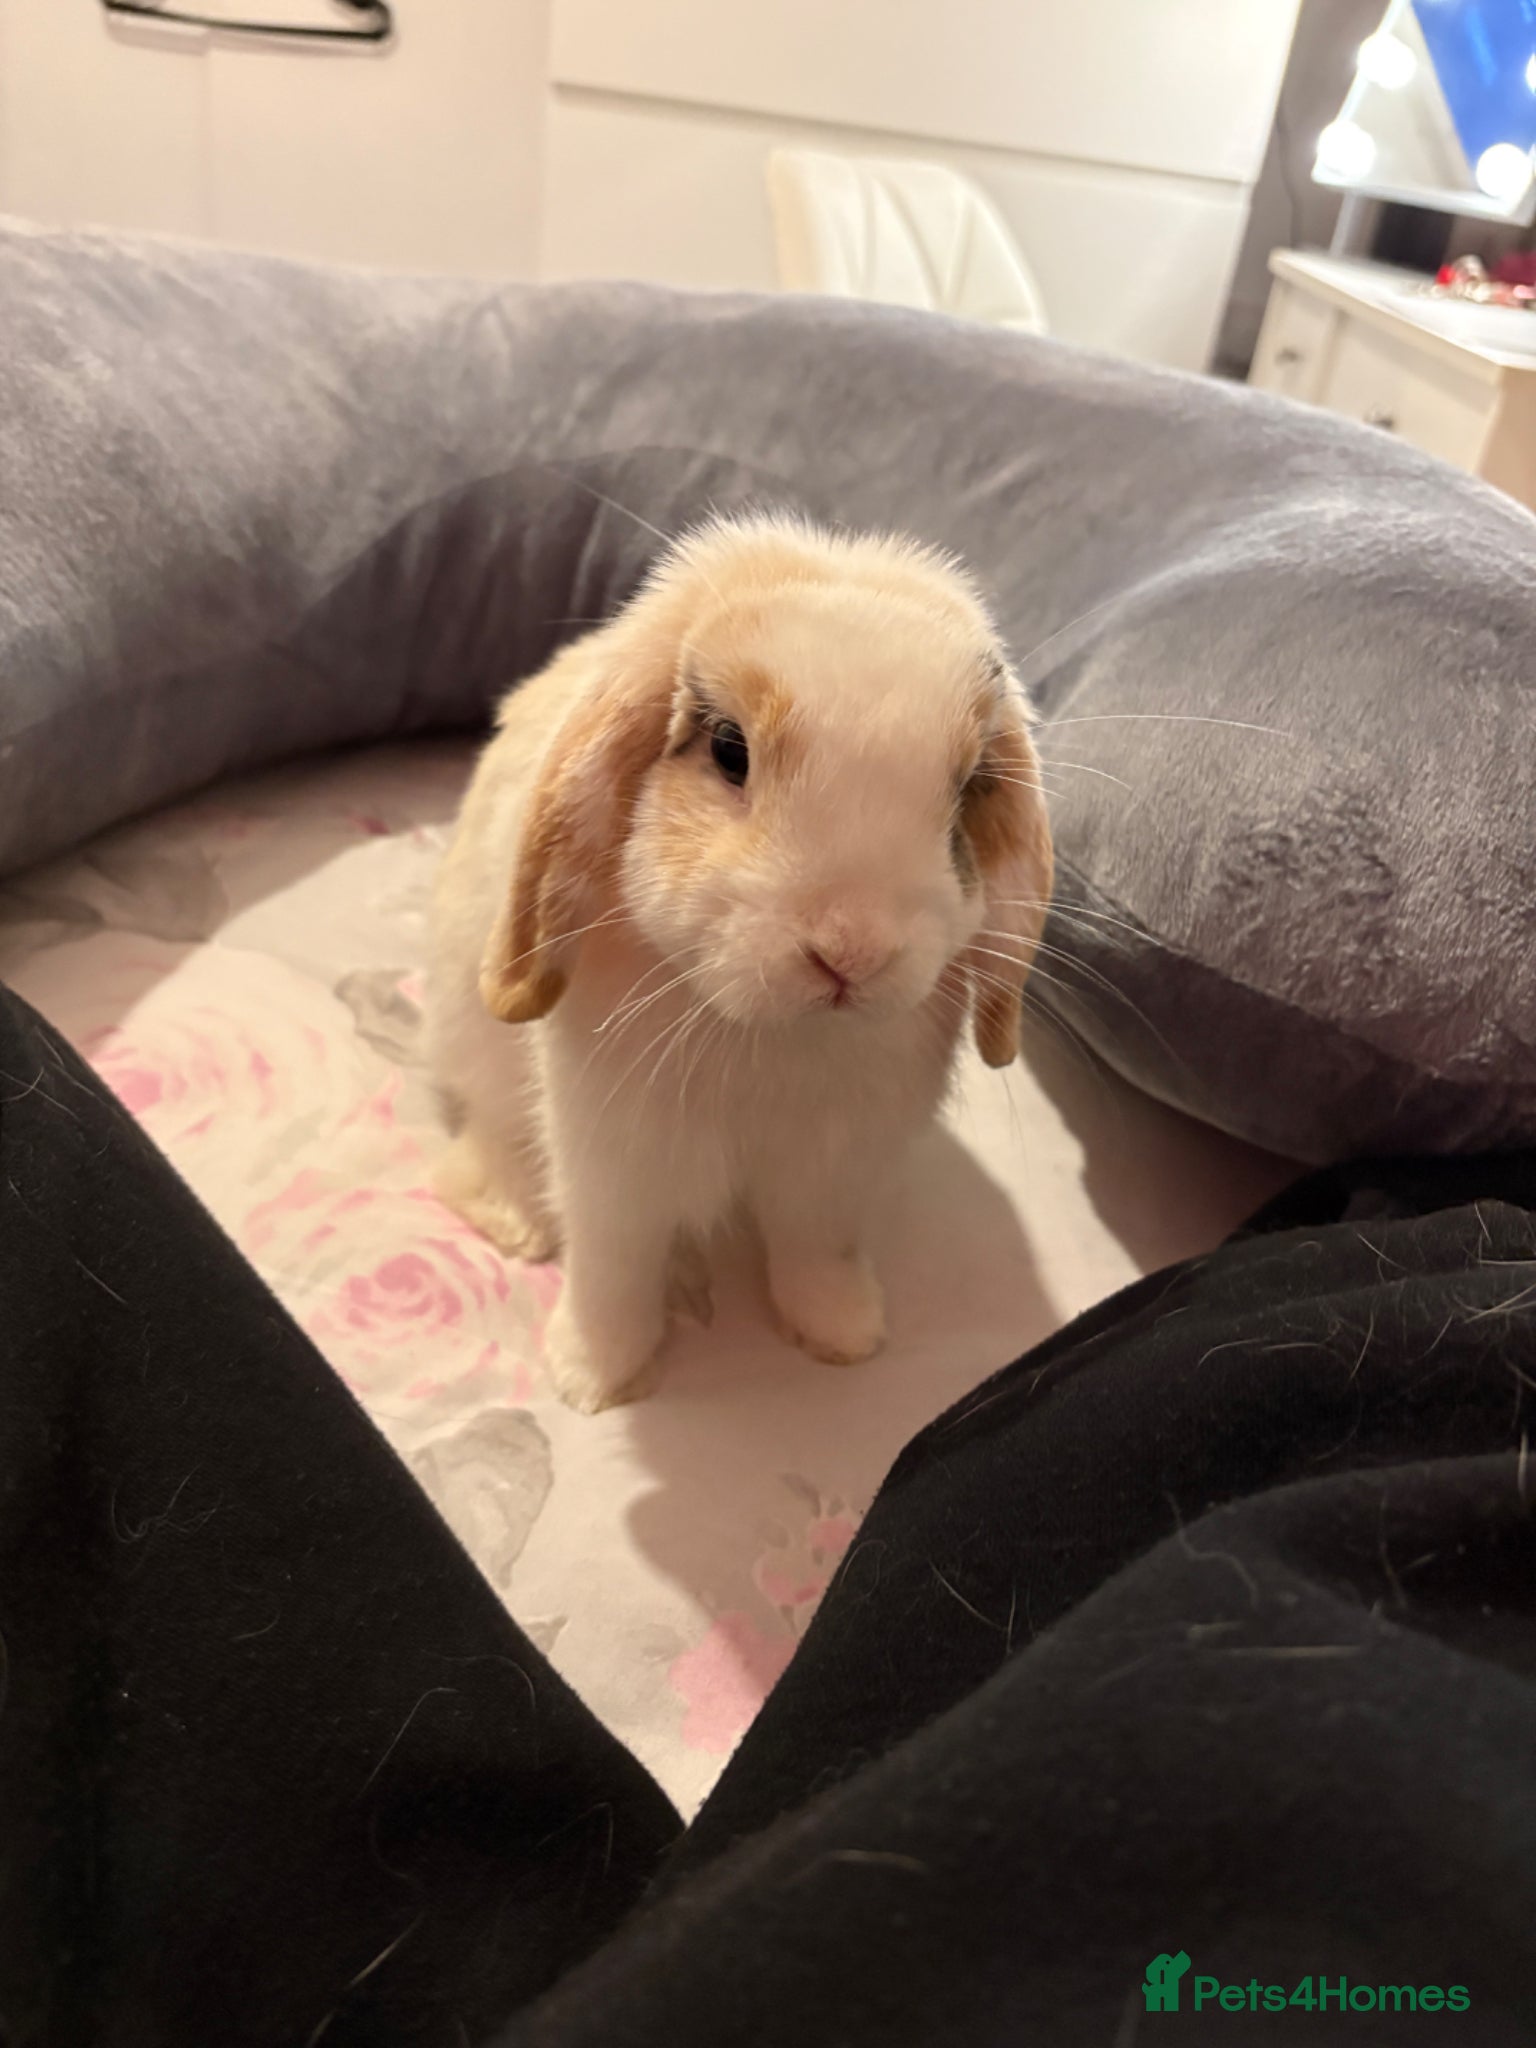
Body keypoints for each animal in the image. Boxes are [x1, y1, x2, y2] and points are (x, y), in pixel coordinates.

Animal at [425, 513, 1053, 1413]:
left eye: (967, 788)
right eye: (729, 750)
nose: (850, 951)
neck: (772, 1040)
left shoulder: (831, 1177)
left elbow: (814, 1254)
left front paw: (844, 1337)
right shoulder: (616, 1170)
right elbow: (613, 1272)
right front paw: (595, 1380)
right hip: (471, 1036)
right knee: (488, 1140)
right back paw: (516, 1222)